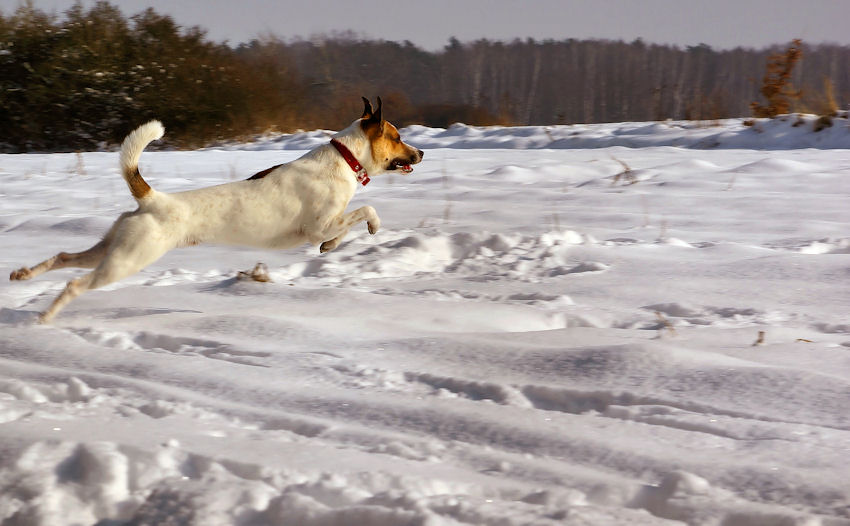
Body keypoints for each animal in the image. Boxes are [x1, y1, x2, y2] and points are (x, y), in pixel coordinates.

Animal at [9, 97, 420, 324]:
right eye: (398, 137)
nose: (420, 153)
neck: (345, 158)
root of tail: (153, 198)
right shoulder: (319, 225)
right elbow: (364, 211)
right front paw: (367, 228)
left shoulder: (325, 226)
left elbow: (343, 229)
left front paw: (331, 248)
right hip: (126, 260)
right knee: (75, 284)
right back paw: (44, 317)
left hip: (111, 248)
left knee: (63, 257)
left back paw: (23, 274)